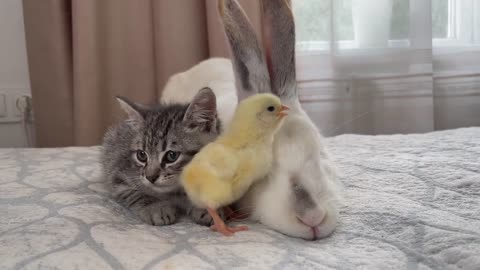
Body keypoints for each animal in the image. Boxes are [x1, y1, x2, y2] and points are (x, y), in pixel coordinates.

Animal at [102, 88, 222, 226]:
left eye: (172, 156)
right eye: (141, 155)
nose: (150, 177)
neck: (177, 192)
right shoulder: (117, 174)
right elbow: (136, 194)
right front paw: (156, 208)